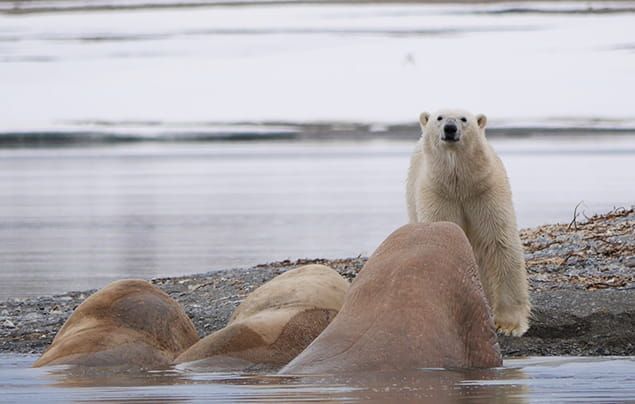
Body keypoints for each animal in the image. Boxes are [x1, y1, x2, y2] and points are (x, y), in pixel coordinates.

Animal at [408, 109, 532, 336]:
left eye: (464, 119)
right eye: (439, 118)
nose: (450, 128)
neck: (460, 185)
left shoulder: (485, 193)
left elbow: (499, 243)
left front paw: (508, 325)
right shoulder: (438, 194)